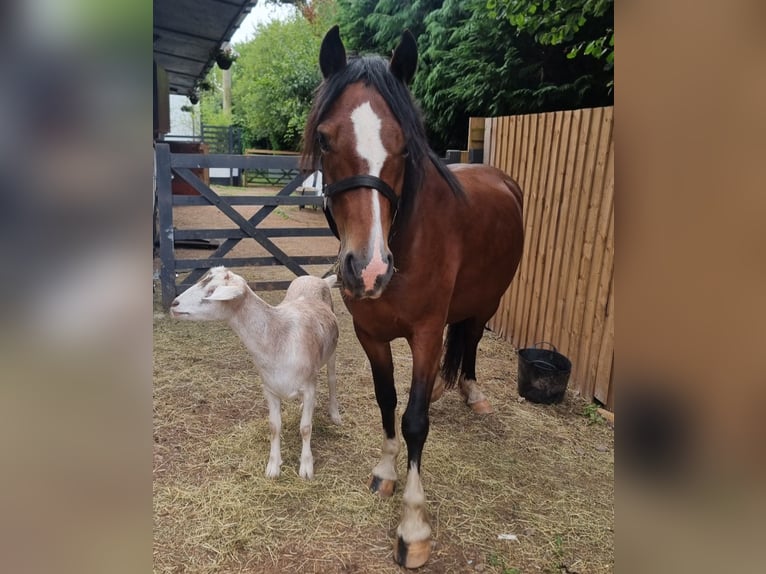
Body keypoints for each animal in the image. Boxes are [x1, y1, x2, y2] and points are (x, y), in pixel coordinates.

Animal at [174, 268, 344, 482]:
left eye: (211, 291)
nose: (174, 304)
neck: (278, 338)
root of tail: (317, 279)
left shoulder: (308, 386)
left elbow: (306, 428)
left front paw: (306, 467)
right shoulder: (270, 389)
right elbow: (274, 426)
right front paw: (273, 466)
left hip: (333, 352)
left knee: (332, 380)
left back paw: (335, 414)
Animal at [304, 25, 524, 568]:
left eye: (405, 146)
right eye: (325, 139)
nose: (369, 269)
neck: (407, 238)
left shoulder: (424, 335)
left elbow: (415, 421)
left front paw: (413, 526)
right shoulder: (371, 334)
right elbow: (386, 401)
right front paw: (385, 473)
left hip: (488, 301)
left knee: (472, 339)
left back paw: (471, 391)